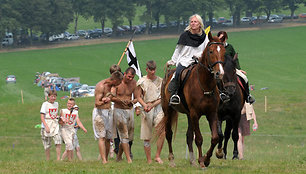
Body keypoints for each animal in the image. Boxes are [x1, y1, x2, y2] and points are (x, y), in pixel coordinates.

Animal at [157, 32, 226, 169]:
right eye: (211, 51)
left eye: (224, 51)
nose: (219, 73)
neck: (205, 85)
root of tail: (168, 75)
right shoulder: (195, 114)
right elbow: (198, 138)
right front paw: (201, 161)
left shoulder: (212, 114)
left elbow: (215, 137)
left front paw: (206, 159)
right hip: (168, 111)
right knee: (169, 134)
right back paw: (172, 160)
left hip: (189, 115)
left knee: (188, 136)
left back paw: (192, 161)